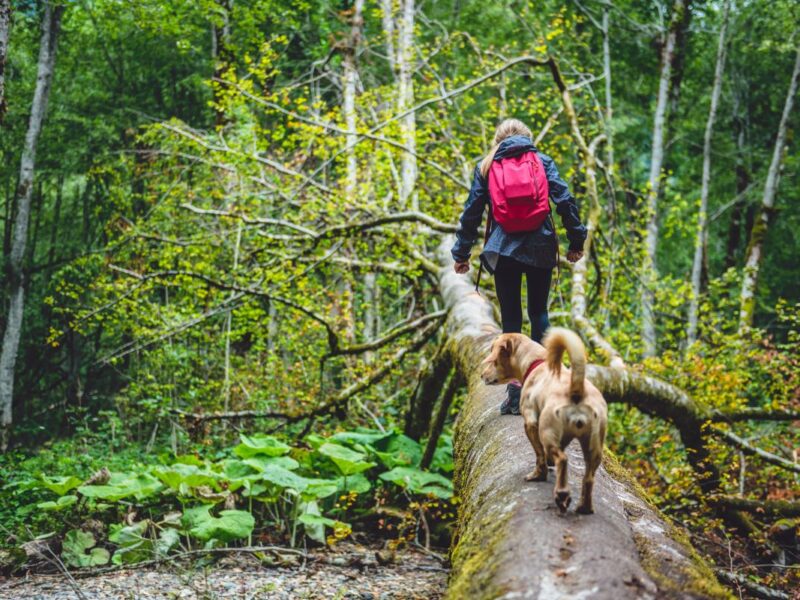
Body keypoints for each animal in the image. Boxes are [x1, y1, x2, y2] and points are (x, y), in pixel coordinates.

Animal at [482, 330, 608, 512]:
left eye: (493, 361)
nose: (481, 375)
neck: (537, 361)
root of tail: (576, 389)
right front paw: (548, 463)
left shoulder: (530, 423)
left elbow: (539, 455)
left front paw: (539, 474)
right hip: (594, 447)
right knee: (589, 478)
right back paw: (584, 507)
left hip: (546, 431)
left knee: (562, 459)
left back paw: (560, 493)